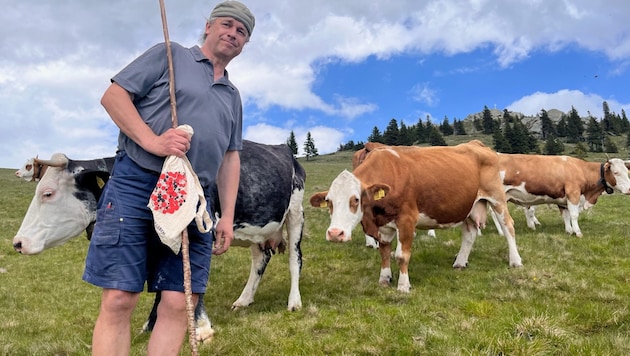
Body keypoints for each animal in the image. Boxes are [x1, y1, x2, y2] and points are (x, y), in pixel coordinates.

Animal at [9, 140, 306, 344]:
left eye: (48, 193)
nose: (18, 243)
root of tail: (284, 149)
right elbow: (162, 285)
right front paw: (150, 325)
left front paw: (201, 328)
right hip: (259, 228)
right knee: (260, 259)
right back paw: (243, 300)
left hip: (296, 213)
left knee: (295, 260)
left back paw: (294, 302)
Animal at [312, 139, 524, 292]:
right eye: (329, 201)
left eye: (356, 199)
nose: (335, 233)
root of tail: (476, 144)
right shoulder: (384, 224)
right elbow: (384, 252)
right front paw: (384, 278)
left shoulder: (407, 219)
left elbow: (401, 255)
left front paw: (403, 285)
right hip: (468, 205)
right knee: (470, 233)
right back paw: (459, 262)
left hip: (496, 196)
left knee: (508, 226)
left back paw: (515, 261)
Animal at [494, 154, 630, 238]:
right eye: (616, 172)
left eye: (627, 172)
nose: (629, 189)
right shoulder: (573, 194)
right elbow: (574, 215)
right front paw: (578, 232)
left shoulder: (563, 199)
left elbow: (566, 215)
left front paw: (569, 231)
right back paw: (501, 232)